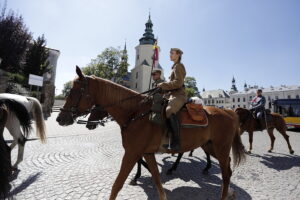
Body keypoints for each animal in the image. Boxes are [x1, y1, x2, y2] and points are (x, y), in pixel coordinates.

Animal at [56, 67, 246, 200]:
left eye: (74, 91)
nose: (59, 118)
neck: (135, 112)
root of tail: (230, 112)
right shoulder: (146, 152)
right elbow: (155, 178)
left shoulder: (131, 153)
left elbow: (117, 184)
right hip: (210, 146)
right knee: (227, 168)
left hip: (220, 148)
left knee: (226, 173)